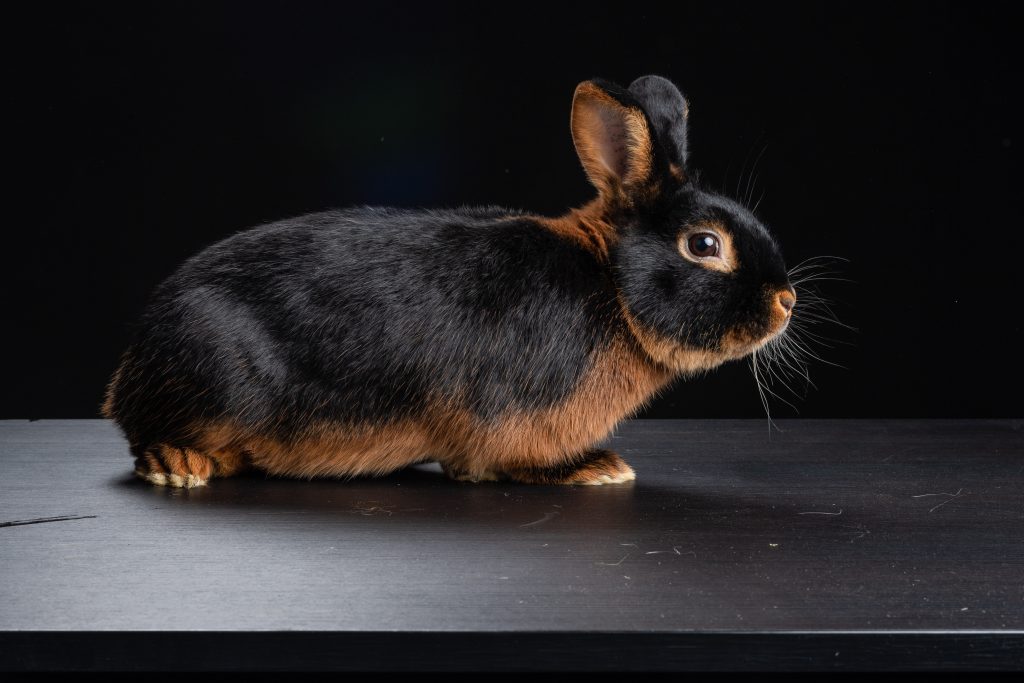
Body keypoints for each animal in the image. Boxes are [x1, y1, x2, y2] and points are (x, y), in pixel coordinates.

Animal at [102, 75, 796, 488]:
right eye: (704, 245)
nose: (786, 300)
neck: (611, 284)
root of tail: (133, 360)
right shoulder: (511, 421)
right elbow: (507, 463)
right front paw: (597, 469)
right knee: (145, 435)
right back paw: (177, 465)